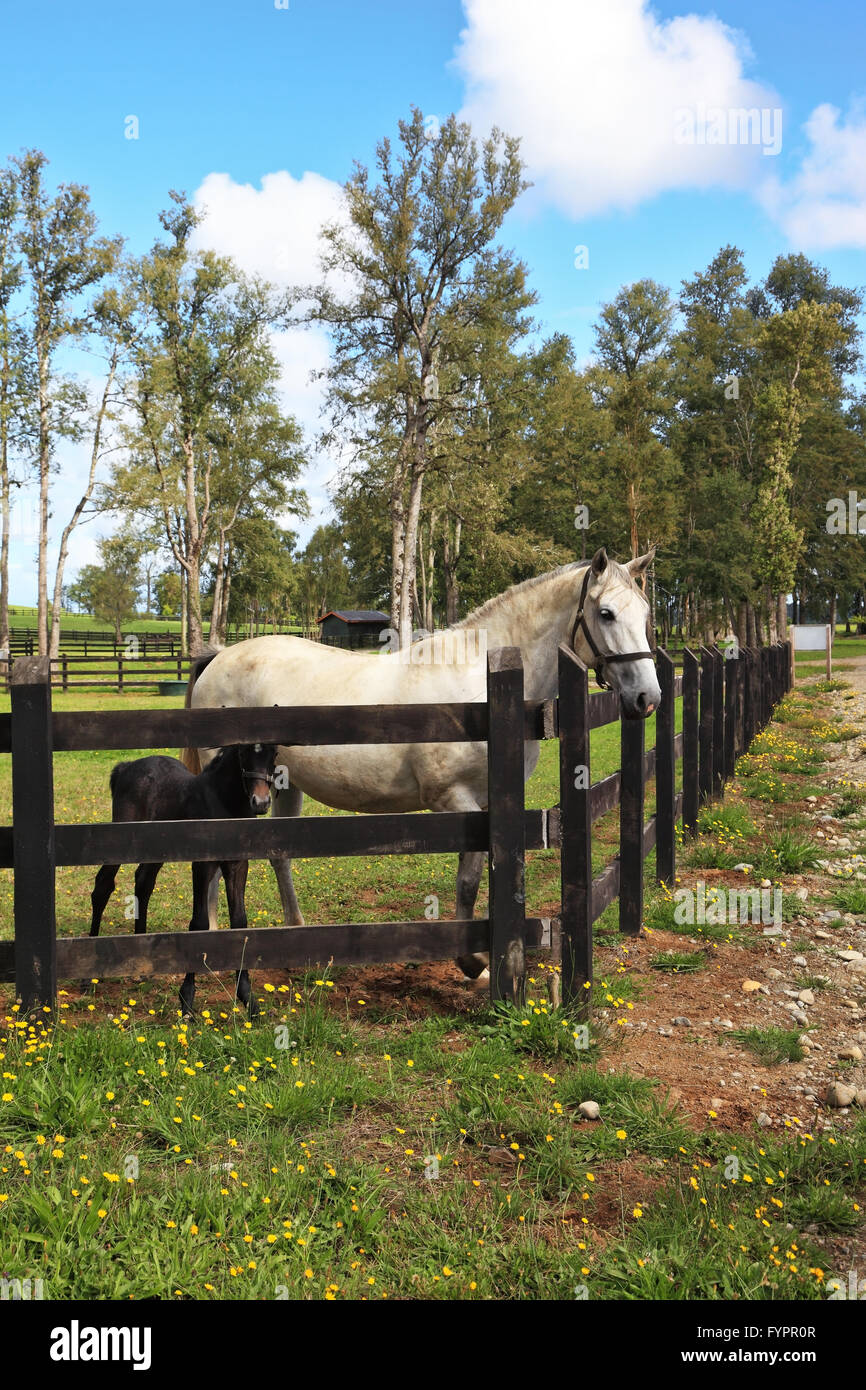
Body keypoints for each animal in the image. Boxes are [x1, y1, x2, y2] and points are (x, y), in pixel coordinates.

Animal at [88, 745, 278, 1017]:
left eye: (275, 753)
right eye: (243, 753)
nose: (261, 802)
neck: (224, 802)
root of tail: (126, 767)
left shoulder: (238, 865)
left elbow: (240, 922)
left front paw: (248, 999)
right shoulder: (202, 865)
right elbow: (198, 923)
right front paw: (187, 1000)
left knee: (143, 882)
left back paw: (142, 965)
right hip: (120, 841)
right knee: (103, 885)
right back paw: (89, 976)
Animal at [180, 550, 656, 978]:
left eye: (646, 613)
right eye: (607, 613)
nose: (647, 698)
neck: (477, 683)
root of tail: (219, 658)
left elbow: (482, 875)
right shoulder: (452, 800)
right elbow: (469, 877)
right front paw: (473, 963)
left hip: (281, 784)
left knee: (279, 855)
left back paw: (296, 944)